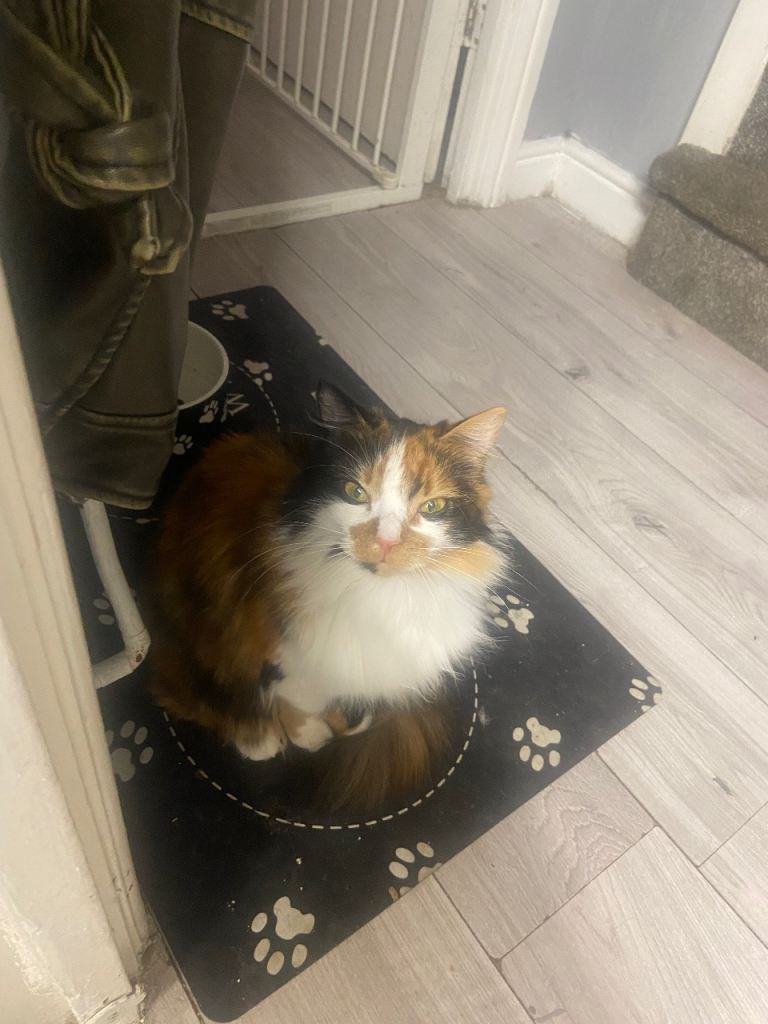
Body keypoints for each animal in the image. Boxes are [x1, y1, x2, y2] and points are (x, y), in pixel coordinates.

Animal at [148, 382, 507, 812]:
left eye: (432, 506)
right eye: (355, 492)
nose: (385, 543)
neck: (377, 599)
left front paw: (339, 722)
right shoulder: (275, 640)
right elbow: (297, 694)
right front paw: (307, 733)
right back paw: (258, 738)